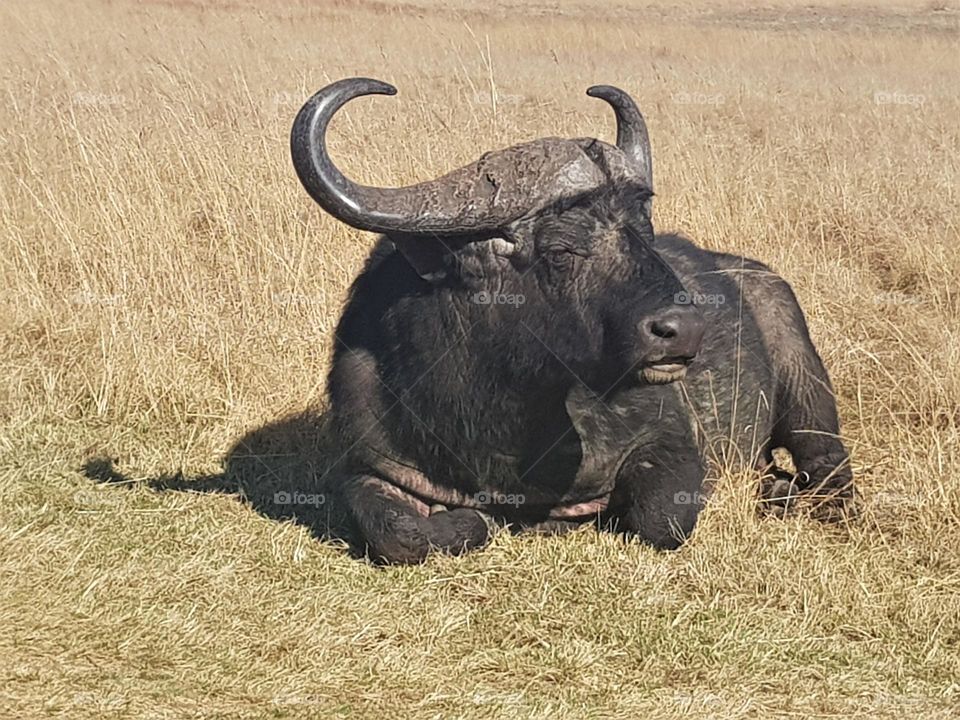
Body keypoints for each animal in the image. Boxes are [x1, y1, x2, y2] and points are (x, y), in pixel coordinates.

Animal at [290, 78, 855, 564]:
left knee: (828, 466)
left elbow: (662, 518)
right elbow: (400, 531)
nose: (685, 330)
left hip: (808, 391)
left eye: (643, 231)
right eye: (561, 249)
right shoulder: (369, 463)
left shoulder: (669, 440)